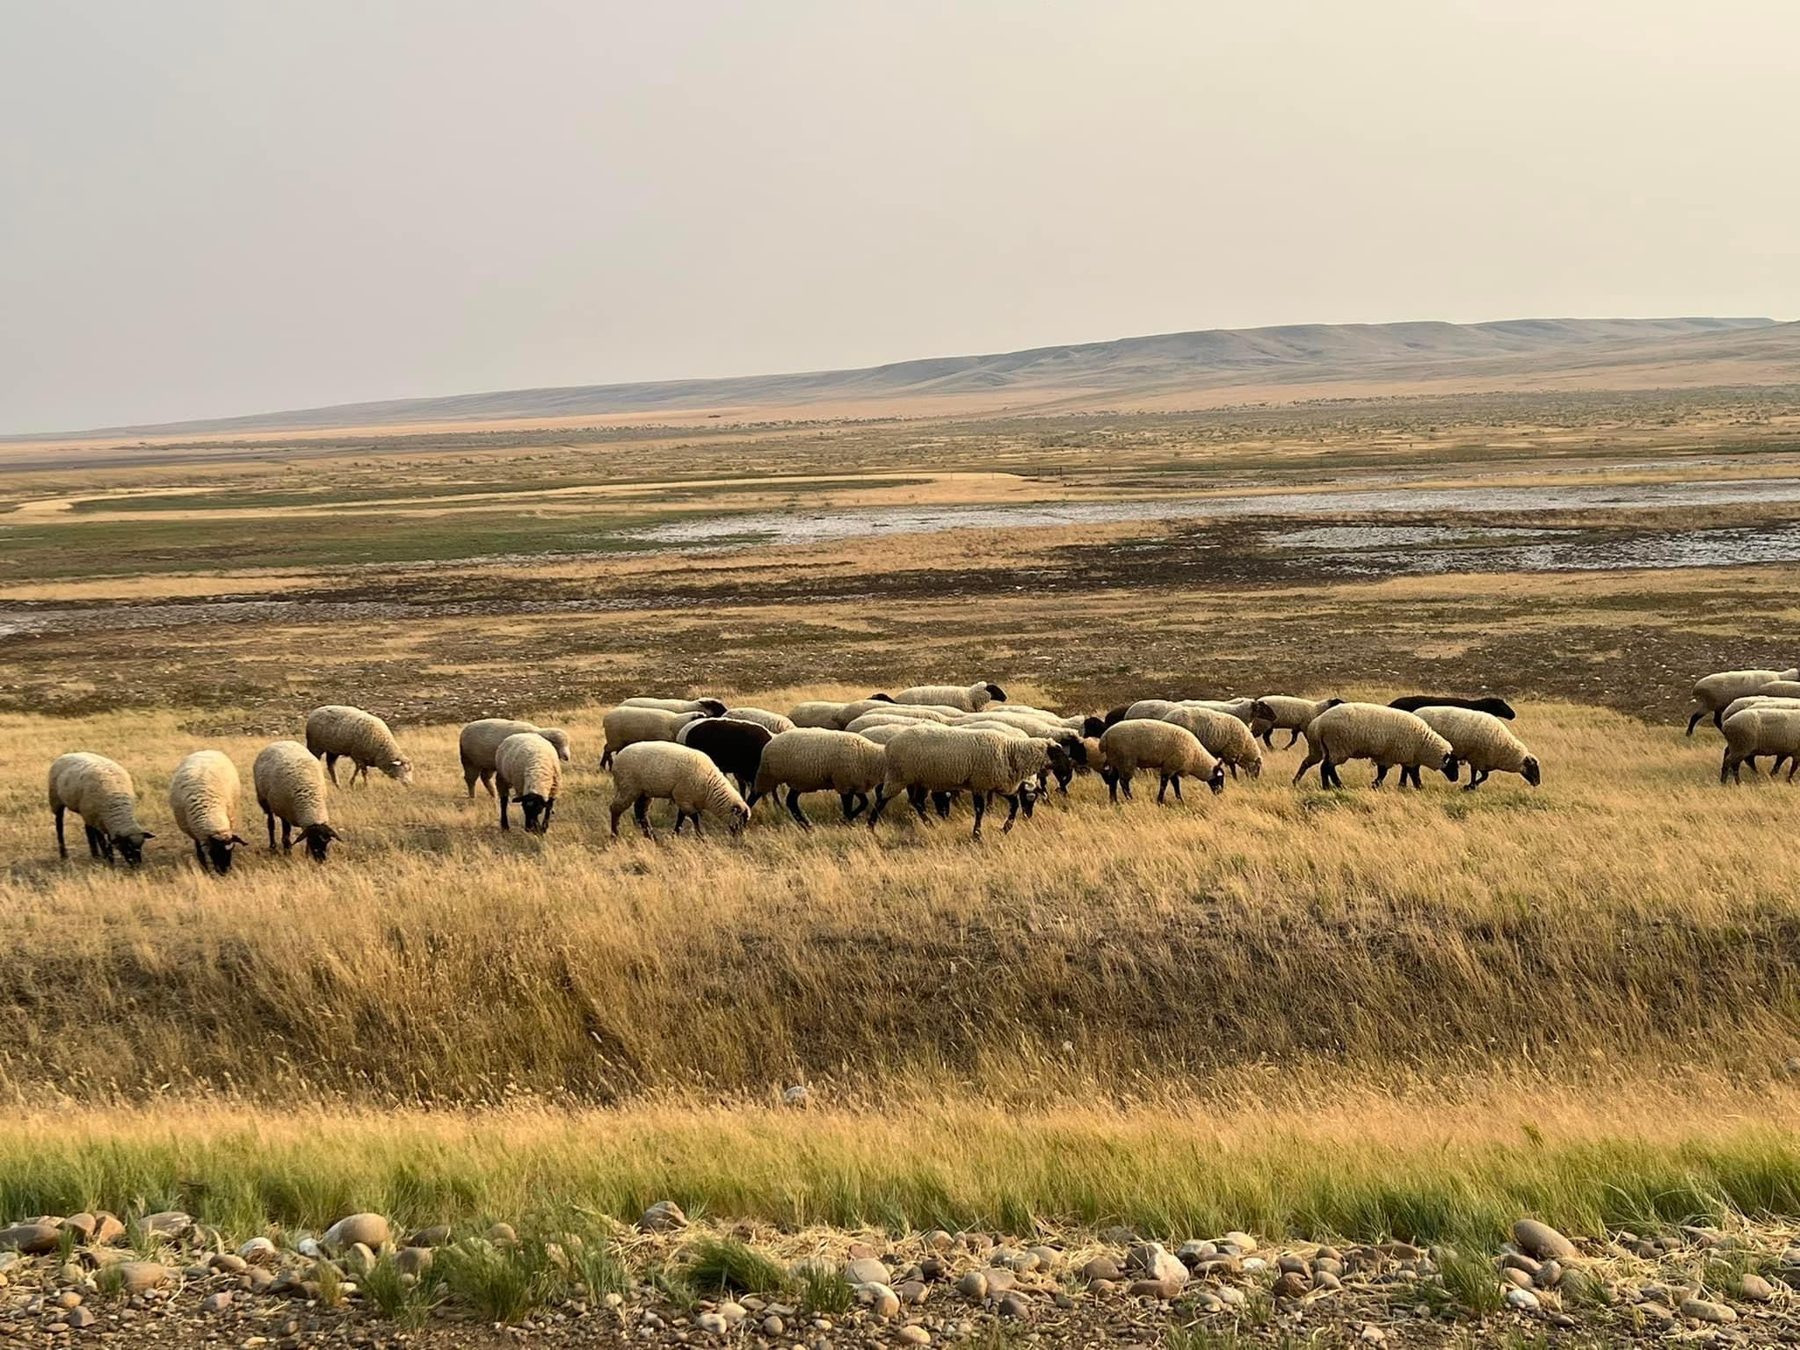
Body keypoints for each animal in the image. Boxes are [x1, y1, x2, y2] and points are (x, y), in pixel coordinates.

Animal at [608, 741, 750, 838]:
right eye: (741, 820)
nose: (740, 837)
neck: (710, 787)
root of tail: (617, 759)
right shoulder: (683, 797)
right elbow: (694, 818)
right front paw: (701, 836)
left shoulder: (686, 799)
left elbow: (681, 817)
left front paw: (675, 834)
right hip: (628, 787)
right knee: (616, 808)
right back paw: (615, 835)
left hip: (644, 792)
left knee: (641, 813)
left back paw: (651, 837)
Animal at [748, 727, 887, 827]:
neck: (869, 757)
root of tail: (770, 742)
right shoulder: (843, 784)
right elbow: (848, 808)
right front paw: (845, 822)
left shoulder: (854, 785)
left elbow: (864, 803)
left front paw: (847, 820)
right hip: (768, 775)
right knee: (753, 796)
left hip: (798, 781)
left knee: (791, 801)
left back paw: (806, 825)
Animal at [866, 724, 1053, 838]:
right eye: (1056, 753)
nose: (1028, 816)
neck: (1009, 752)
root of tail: (889, 743)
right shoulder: (980, 784)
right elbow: (979, 810)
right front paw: (977, 834)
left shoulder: (997, 785)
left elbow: (1013, 803)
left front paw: (1005, 828)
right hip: (898, 776)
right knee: (882, 799)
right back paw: (870, 827)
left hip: (918, 779)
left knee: (916, 801)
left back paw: (930, 824)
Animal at [1294, 703, 1456, 789]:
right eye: (1452, 763)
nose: (1455, 778)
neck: (1422, 744)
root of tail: (1318, 724)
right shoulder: (1389, 756)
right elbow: (1386, 773)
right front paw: (1375, 785)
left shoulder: (1401, 757)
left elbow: (1411, 773)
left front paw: (1418, 787)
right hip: (1339, 748)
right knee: (1327, 767)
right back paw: (1336, 786)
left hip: (1323, 748)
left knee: (1319, 765)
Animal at [1409, 706, 1541, 790]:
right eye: (1533, 768)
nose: (1538, 783)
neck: (1504, 747)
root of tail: (1415, 713)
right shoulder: (1476, 758)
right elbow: (1477, 774)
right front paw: (1470, 786)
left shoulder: (1484, 761)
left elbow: (1484, 776)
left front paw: (1472, 786)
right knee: (1413, 768)